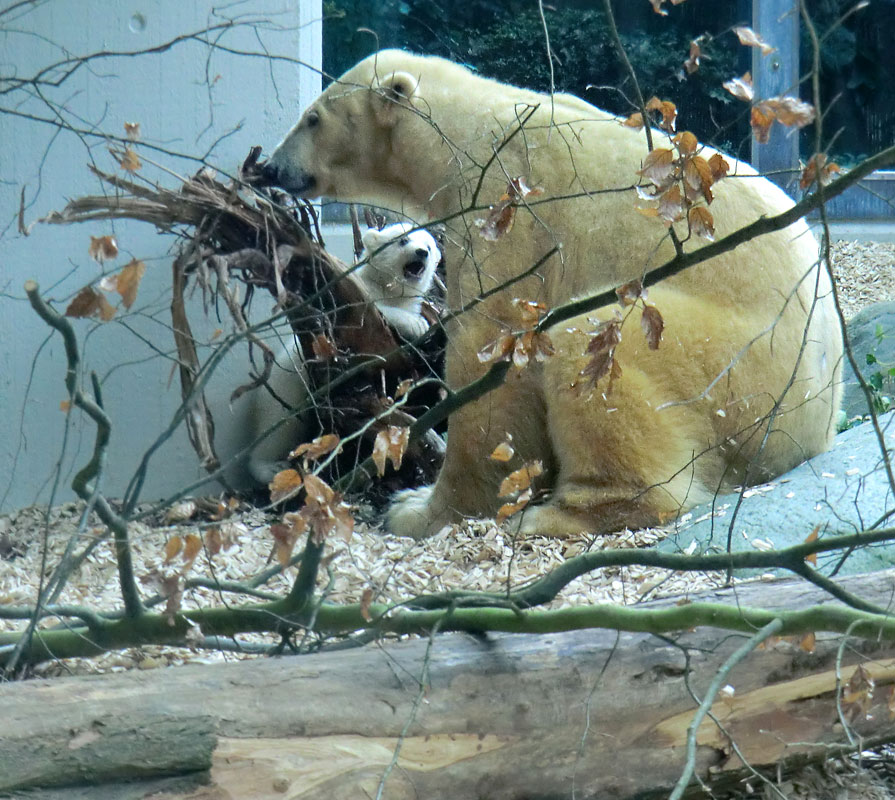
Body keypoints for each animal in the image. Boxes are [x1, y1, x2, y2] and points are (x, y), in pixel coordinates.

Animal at [258, 48, 840, 536]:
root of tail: (814, 429)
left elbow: (492, 347)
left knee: (592, 337)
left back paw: (555, 514)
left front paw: (419, 509)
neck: (463, 131)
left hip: (734, 367)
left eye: (312, 117)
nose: (271, 167)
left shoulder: (509, 212)